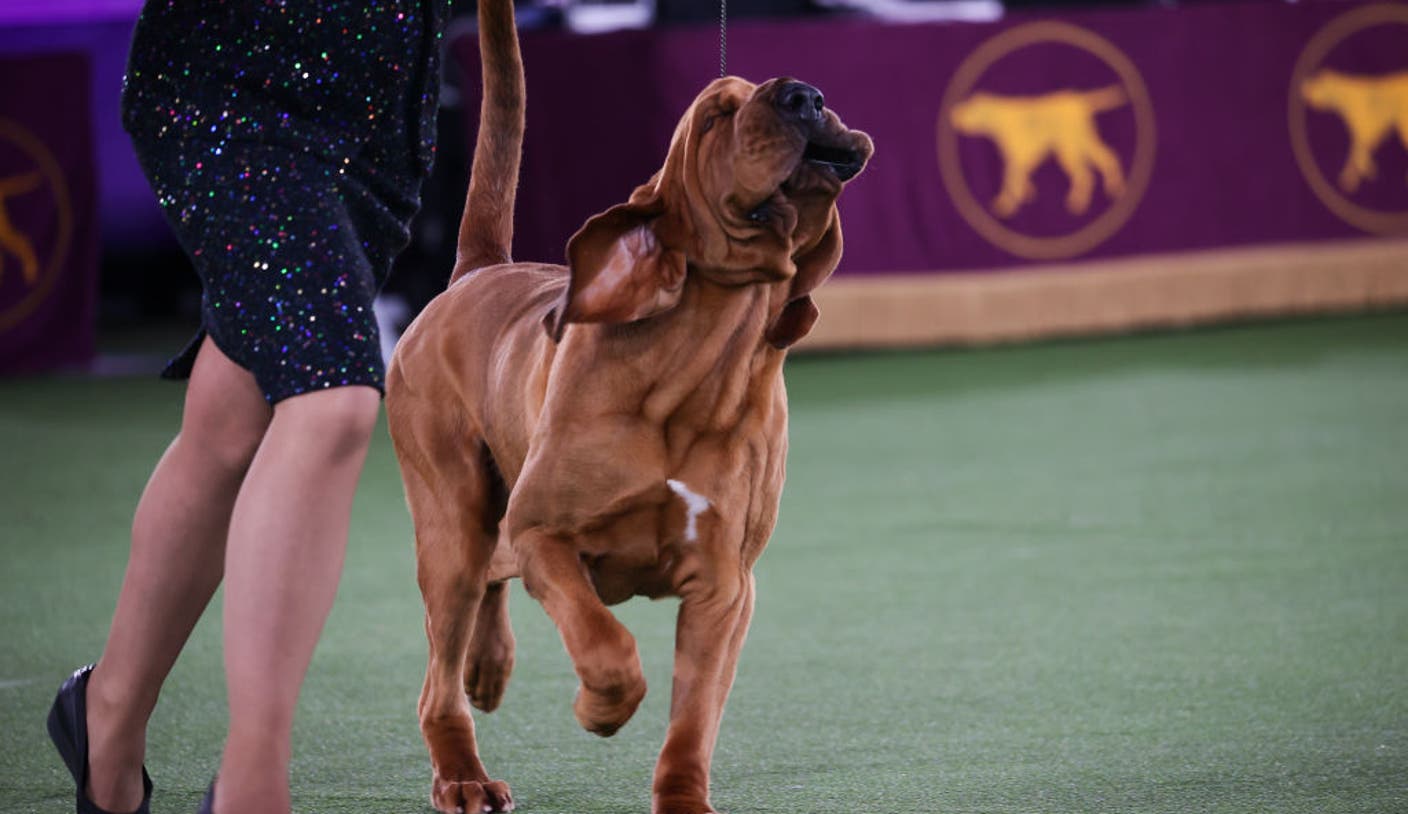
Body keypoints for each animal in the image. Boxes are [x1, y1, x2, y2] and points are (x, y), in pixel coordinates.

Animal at [385, 1, 867, 811]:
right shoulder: (547, 535)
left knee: (488, 584)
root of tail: (477, 271)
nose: (806, 94)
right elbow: (608, 648)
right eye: (716, 116)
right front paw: (597, 708)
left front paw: (683, 798)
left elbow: (692, 718)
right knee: (439, 672)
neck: (702, 373)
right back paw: (463, 776)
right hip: (450, 519)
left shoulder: (725, 587)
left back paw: (488, 668)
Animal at [951, 85, 1126, 215]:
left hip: (1069, 150)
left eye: (970, 108)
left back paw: (1079, 202)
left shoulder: (1019, 157)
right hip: (1081, 144)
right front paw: (1026, 193)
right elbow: (1018, 177)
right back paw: (1112, 188)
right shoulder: (1021, 158)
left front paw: (1007, 203)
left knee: (1086, 174)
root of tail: (1079, 100)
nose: (953, 114)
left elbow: (1010, 179)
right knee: (1105, 161)